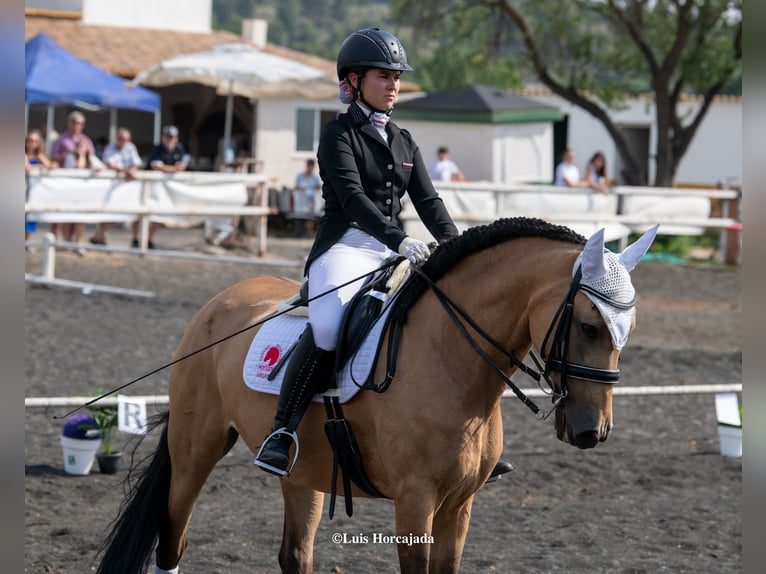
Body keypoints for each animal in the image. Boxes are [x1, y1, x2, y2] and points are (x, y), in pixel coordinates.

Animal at [96, 217, 660, 574]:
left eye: (629, 329)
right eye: (587, 325)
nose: (591, 431)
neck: (448, 358)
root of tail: (217, 303)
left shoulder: (459, 506)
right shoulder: (415, 501)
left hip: (304, 472)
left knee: (294, 555)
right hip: (195, 452)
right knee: (173, 540)